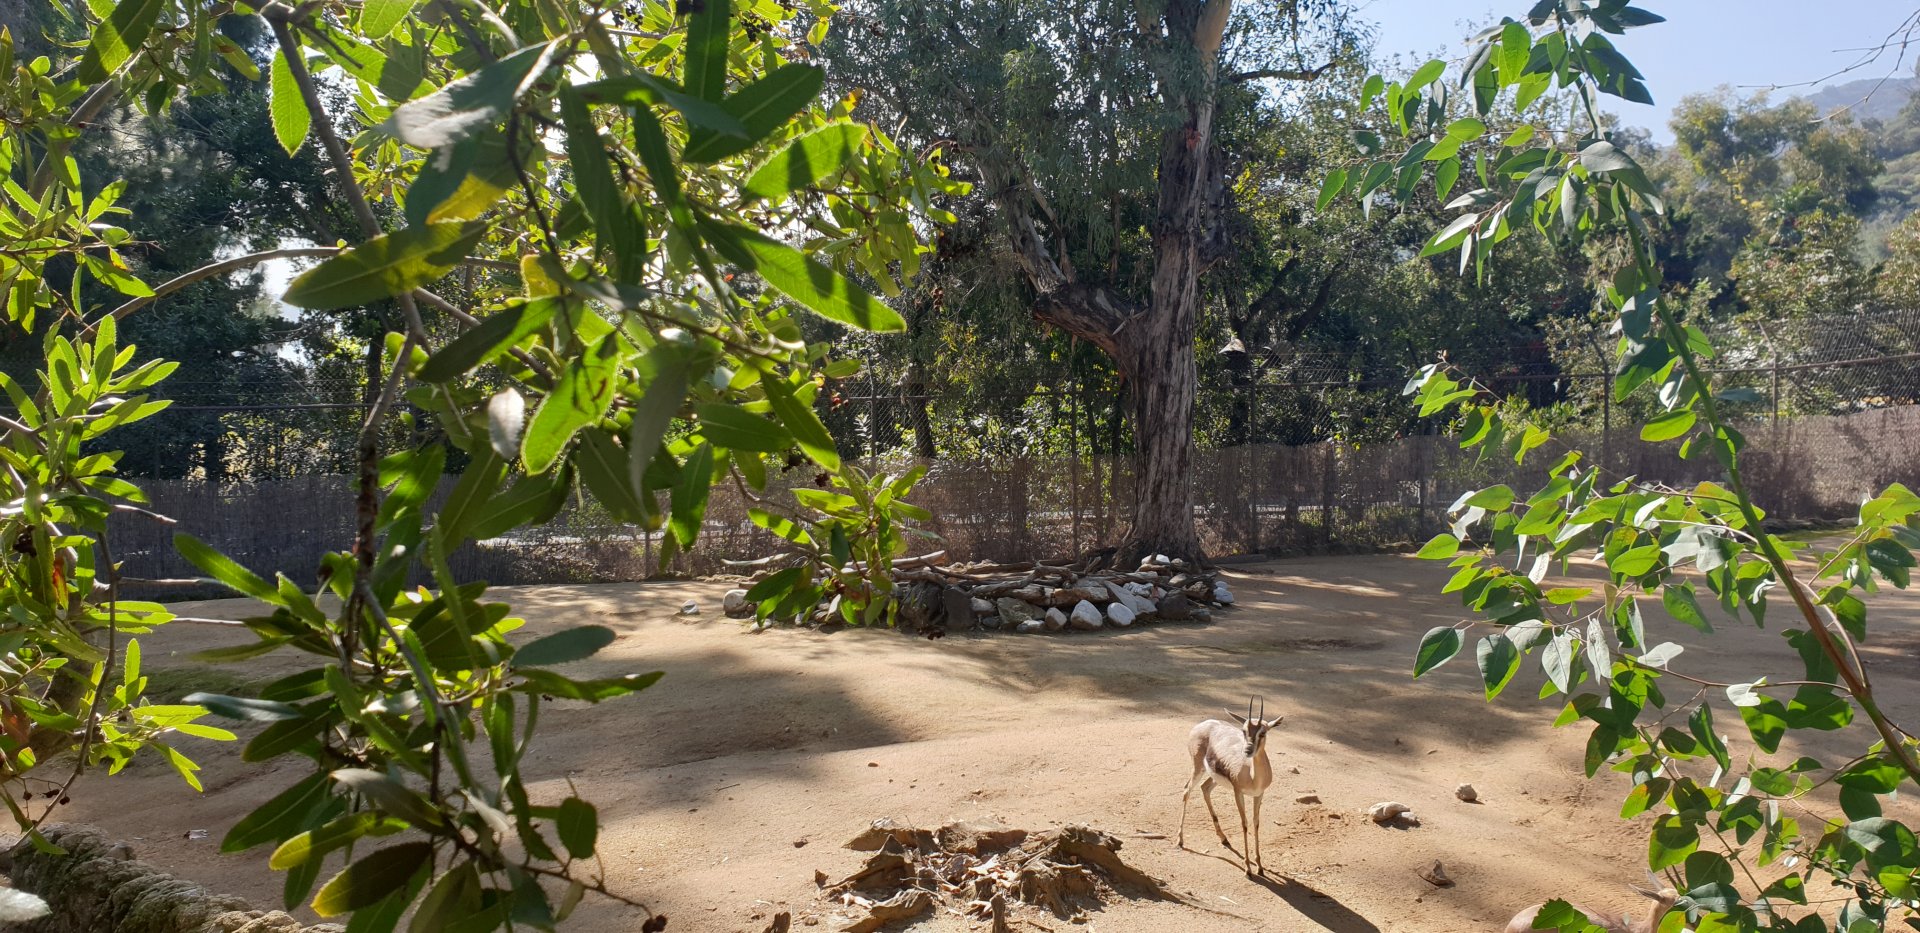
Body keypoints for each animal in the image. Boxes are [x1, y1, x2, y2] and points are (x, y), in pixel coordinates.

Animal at [1178, 697, 1280, 876]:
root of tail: (1203, 724)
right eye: (1244, 731)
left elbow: (1256, 823)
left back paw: (1224, 838)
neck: (1253, 777)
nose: (1247, 751)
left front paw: (1260, 866)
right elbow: (1244, 823)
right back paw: (1180, 840)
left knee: (1204, 788)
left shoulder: (1259, 794)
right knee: (1186, 790)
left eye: (1263, 732)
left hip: (1213, 777)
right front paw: (1247, 868)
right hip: (1198, 768)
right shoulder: (1237, 792)